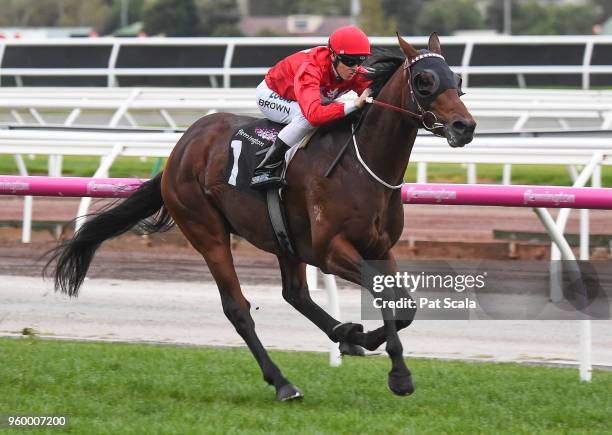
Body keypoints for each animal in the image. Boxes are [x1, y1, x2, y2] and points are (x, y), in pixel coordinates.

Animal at [50, 34, 476, 402]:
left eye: (456, 79)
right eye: (423, 81)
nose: (465, 126)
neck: (361, 164)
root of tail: (181, 148)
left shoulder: (378, 247)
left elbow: (402, 304)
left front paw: (373, 347)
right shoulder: (330, 250)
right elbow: (387, 296)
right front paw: (398, 375)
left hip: (283, 236)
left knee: (296, 293)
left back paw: (344, 334)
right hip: (207, 230)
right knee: (237, 308)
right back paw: (283, 382)